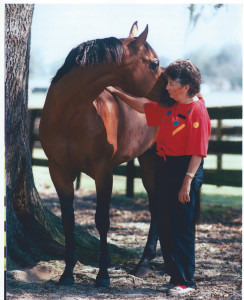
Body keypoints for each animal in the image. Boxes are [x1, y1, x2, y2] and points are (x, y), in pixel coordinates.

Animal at [39, 22, 174, 288]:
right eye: (154, 63)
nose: (171, 95)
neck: (70, 115)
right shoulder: (59, 171)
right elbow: (68, 220)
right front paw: (67, 273)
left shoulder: (103, 172)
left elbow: (102, 220)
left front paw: (103, 275)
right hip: (148, 159)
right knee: (156, 204)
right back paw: (146, 263)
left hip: (154, 160)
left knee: (158, 204)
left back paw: (145, 263)